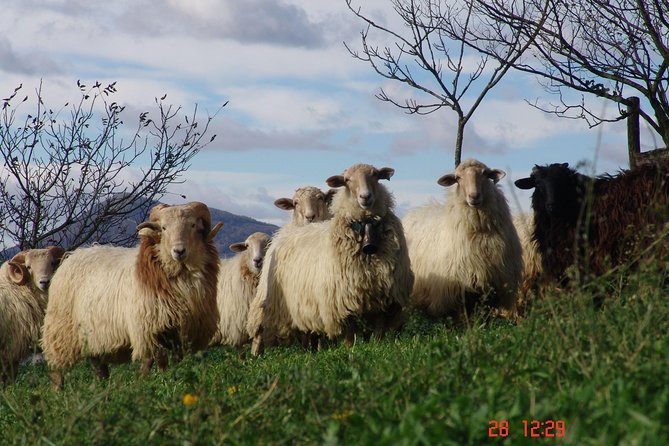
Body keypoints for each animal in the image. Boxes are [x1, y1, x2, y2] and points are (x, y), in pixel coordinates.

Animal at [42, 202, 224, 390]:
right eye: (164, 228)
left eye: (193, 225)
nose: (179, 251)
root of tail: (71, 256)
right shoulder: (150, 330)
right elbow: (157, 362)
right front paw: (158, 382)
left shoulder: (181, 332)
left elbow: (174, 362)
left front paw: (173, 380)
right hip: (61, 331)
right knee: (57, 369)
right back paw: (58, 392)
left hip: (94, 337)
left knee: (98, 366)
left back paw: (102, 388)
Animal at [245, 162, 412, 354]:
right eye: (347, 180)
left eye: (376, 175)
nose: (365, 196)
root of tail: (282, 234)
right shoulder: (340, 302)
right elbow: (349, 337)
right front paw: (349, 352)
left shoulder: (385, 298)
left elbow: (378, 332)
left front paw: (377, 348)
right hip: (268, 301)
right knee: (258, 332)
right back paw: (255, 356)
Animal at [402, 159, 520, 318]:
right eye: (458, 178)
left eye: (485, 173)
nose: (474, 196)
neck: (479, 233)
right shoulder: (456, 287)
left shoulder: (495, 284)